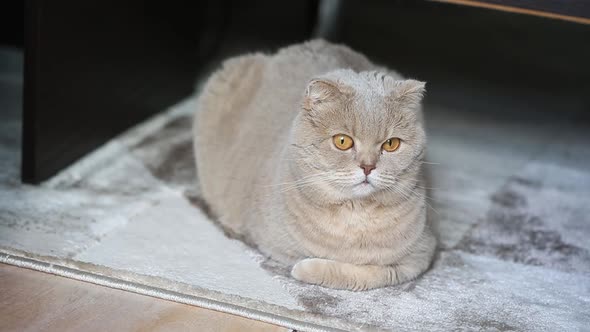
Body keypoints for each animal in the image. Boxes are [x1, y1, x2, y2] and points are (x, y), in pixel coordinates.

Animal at [194, 39, 434, 290]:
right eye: (342, 141)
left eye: (390, 144)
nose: (368, 167)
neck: (356, 215)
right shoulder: (272, 245)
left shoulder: (420, 256)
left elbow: (372, 273)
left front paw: (309, 268)